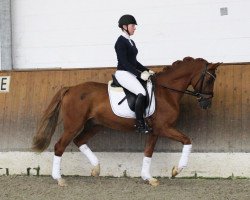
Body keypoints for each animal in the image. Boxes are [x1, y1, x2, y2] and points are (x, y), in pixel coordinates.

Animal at [31, 56, 221, 186]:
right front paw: (176, 170)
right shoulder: (164, 128)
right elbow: (187, 141)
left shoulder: (154, 131)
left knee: (79, 141)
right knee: (59, 146)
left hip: (95, 125)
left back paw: (96, 169)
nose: (207, 104)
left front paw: (148, 178)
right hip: (73, 125)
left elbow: (148, 153)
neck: (166, 92)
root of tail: (70, 89)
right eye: (209, 79)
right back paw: (59, 179)